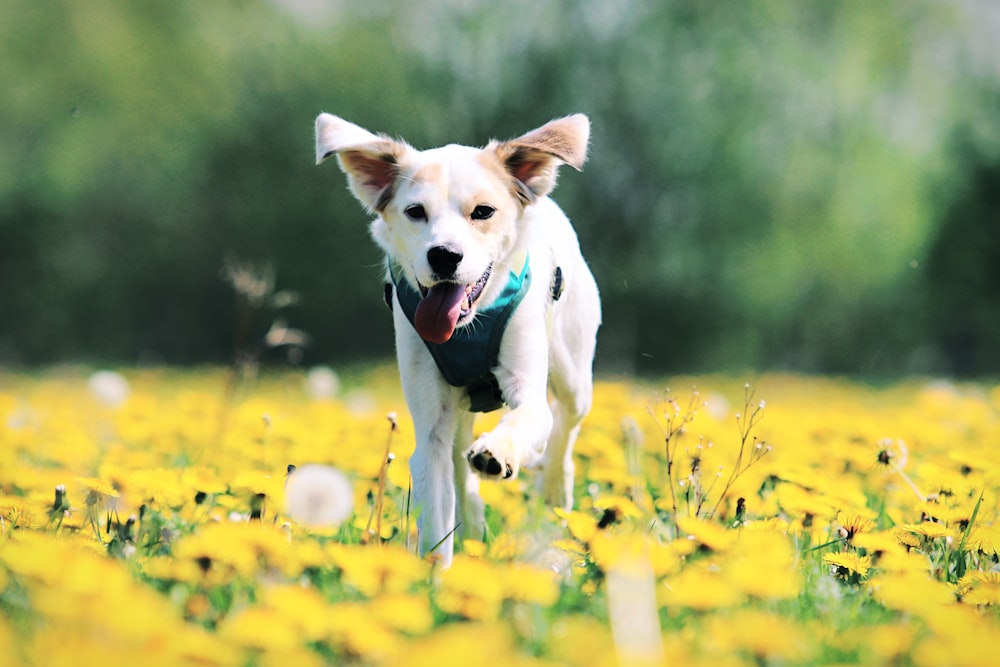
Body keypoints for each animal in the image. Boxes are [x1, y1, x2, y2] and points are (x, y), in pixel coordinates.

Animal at [316, 113, 600, 564]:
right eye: (415, 212)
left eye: (483, 212)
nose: (444, 255)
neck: (468, 327)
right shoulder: (431, 421)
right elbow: (436, 504)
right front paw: (437, 574)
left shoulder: (527, 383)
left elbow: (529, 416)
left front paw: (498, 452)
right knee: (459, 465)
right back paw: (475, 520)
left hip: (573, 370)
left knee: (564, 427)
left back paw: (554, 486)